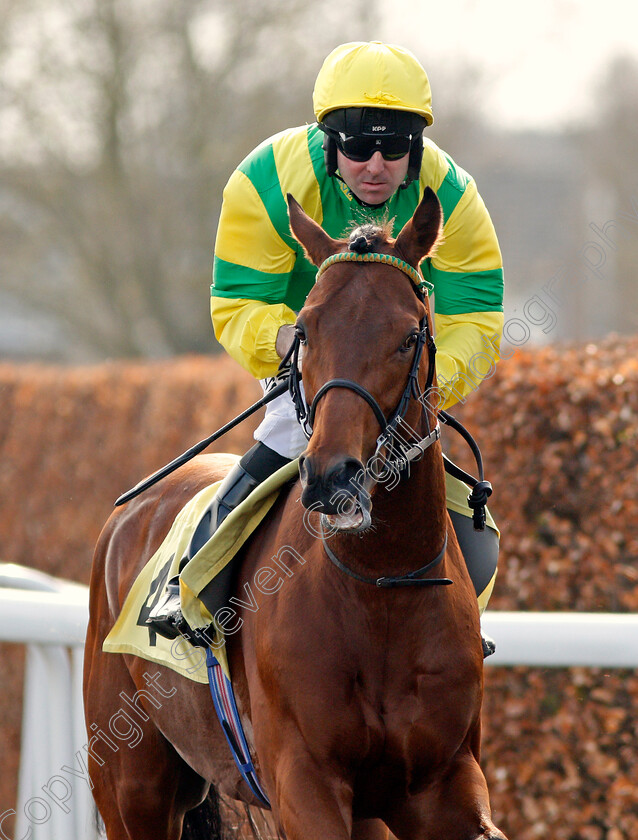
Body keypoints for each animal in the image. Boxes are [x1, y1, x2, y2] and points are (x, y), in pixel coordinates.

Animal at [82, 189, 508, 840]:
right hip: (132, 787)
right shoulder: (303, 780)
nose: (334, 476)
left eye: (408, 336)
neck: (379, 589)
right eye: (305, 330)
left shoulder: (443, 781)